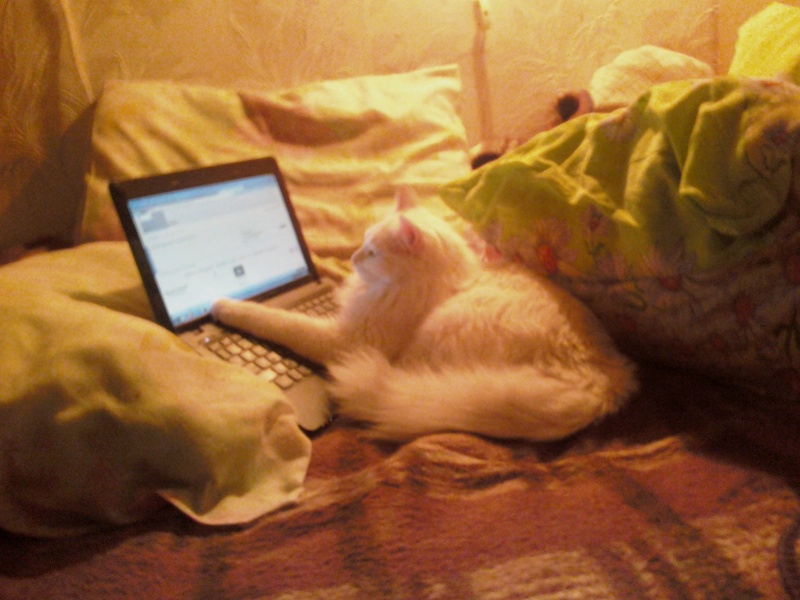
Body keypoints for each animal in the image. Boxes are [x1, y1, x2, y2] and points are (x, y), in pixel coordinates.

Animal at [211, 187, 637, 442]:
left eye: (372, 253)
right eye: (362, 244)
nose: (352, 258)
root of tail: (602, 379)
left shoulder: (345, 338)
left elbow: (275, 320)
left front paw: (222, 305)